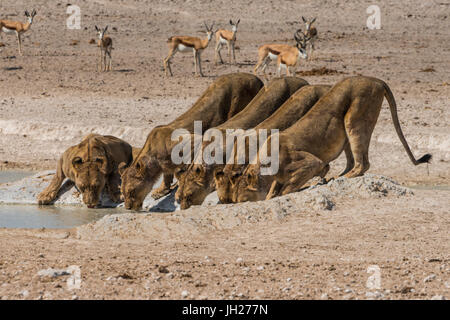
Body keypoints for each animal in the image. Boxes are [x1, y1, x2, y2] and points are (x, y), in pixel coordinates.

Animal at [119, 73, 264, 211]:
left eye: (131, 192)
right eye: (123, 193)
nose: (128, 208)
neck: (154, 155)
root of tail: (256, 78)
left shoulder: (192, 142)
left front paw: (179, 185)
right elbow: (167, 175)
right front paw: (161, 190)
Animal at [234, 76, 430, 202]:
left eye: (242, 194)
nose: (235, 201)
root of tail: (376, 80)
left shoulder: (311, 163)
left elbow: (287, 189)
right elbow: (274, 189)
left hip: (355, 117)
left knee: (363, 164)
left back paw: (341, 177)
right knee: (353, 162)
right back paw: (339, 175)